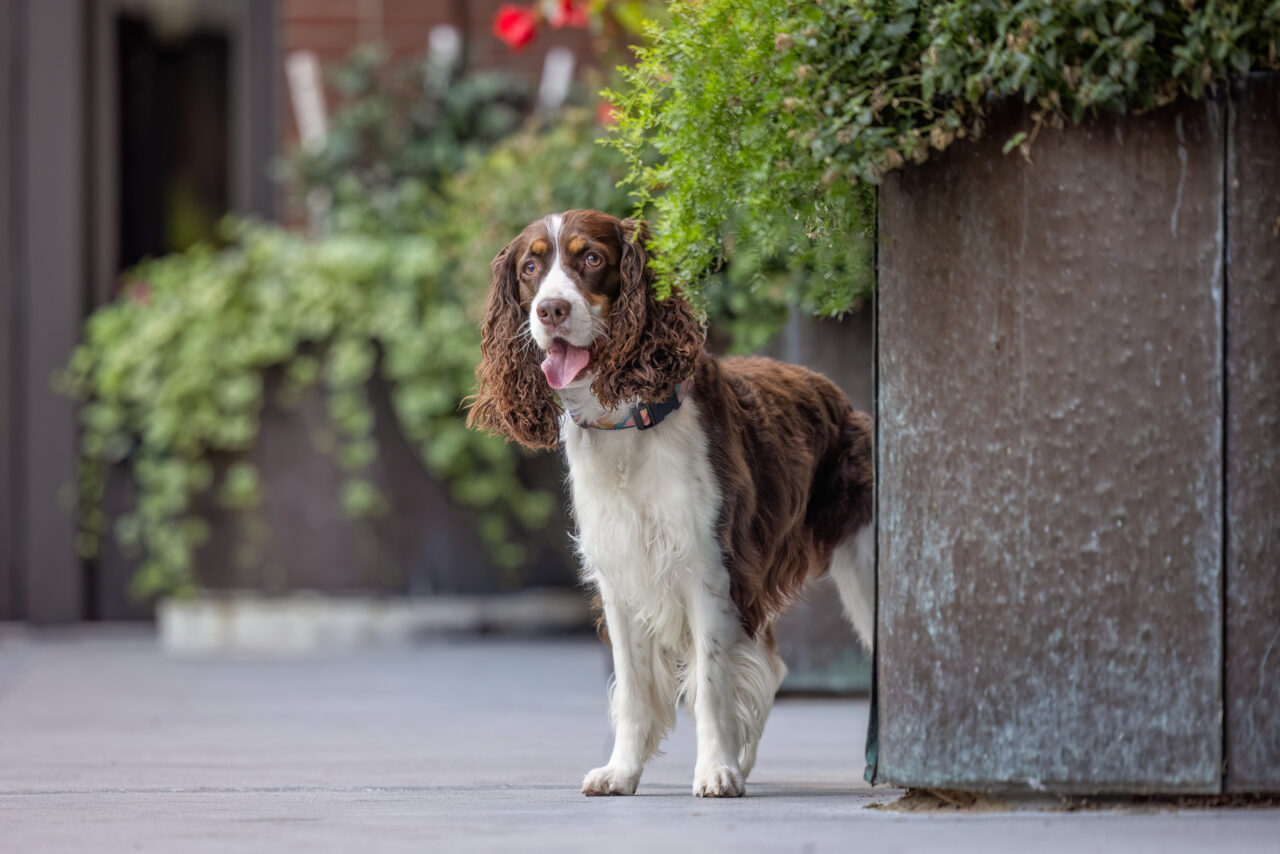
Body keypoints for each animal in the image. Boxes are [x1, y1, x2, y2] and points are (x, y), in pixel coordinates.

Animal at [471, 209, 880, 798]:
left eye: (591, 257)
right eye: (530, 267)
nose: (551, 310)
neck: (628, 428)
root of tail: (842, 400)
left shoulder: (708, 566)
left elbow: (710, 680)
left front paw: (715, 770)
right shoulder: (621, 577)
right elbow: (634, 689)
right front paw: (621, 771)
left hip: (867, 576)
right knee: (773, 665)